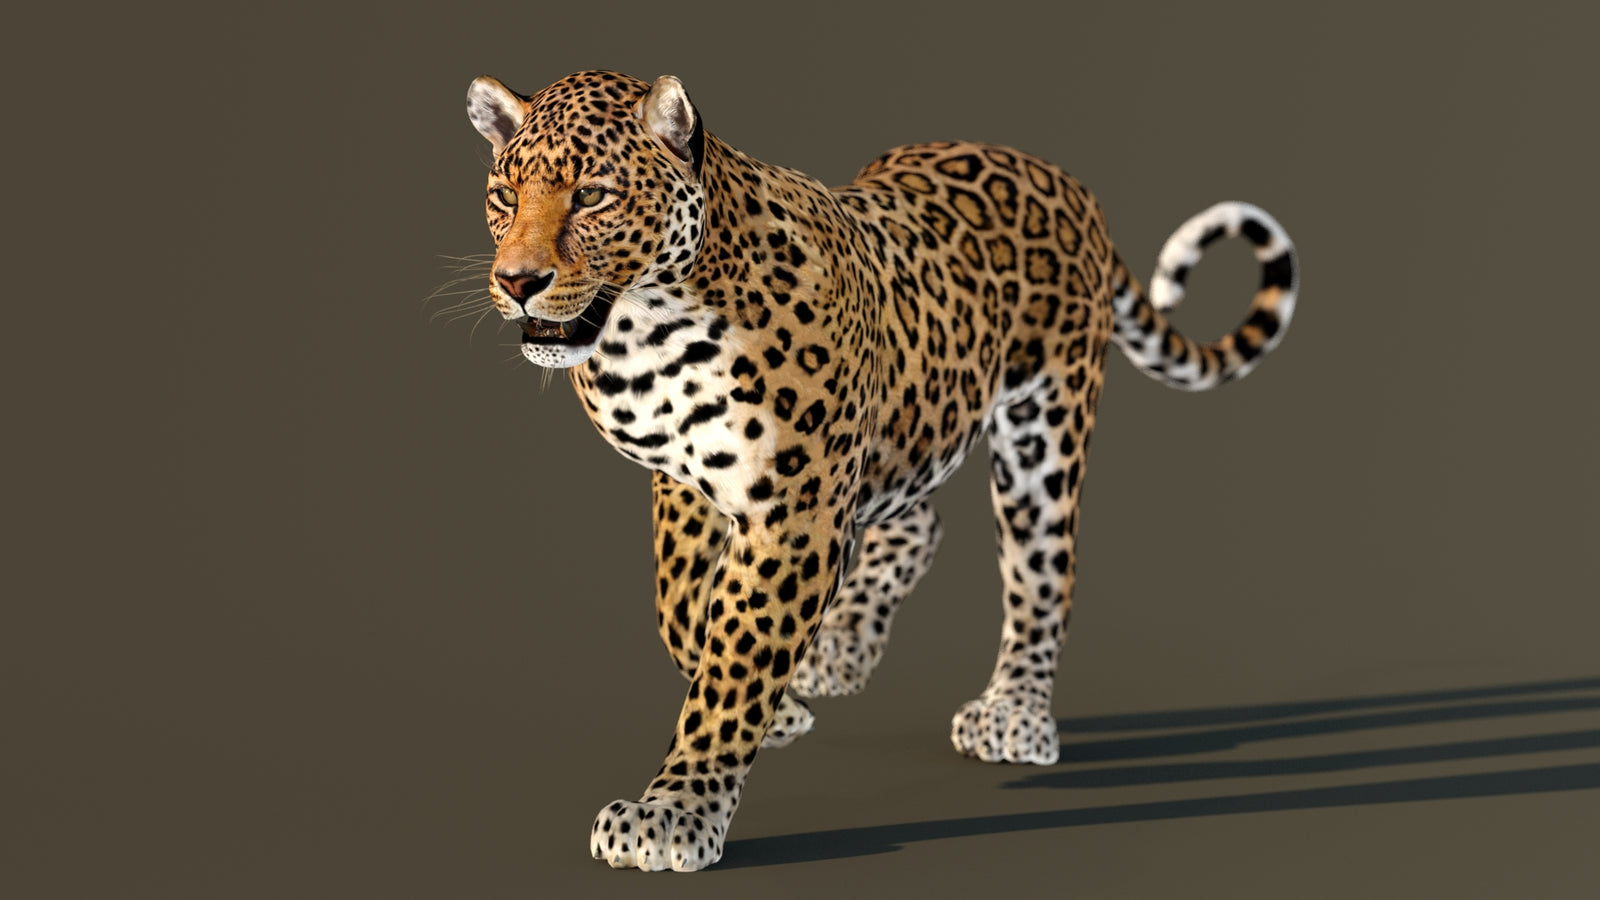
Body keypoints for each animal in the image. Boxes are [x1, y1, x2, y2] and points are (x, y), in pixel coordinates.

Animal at [460, 69, 1298, 872]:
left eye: (592, 195)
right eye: (505, 196)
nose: (517, 283)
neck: (648, 336)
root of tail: (1061, 177)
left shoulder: (794, 511)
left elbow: (737, 657)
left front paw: (675, 812)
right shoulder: (689, 482)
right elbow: (680, 609)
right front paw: (777, 707)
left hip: (1042, 431)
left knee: (1041, 573)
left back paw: (1014, 713)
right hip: (900, 427)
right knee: (919, 519)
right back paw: (843, 646)